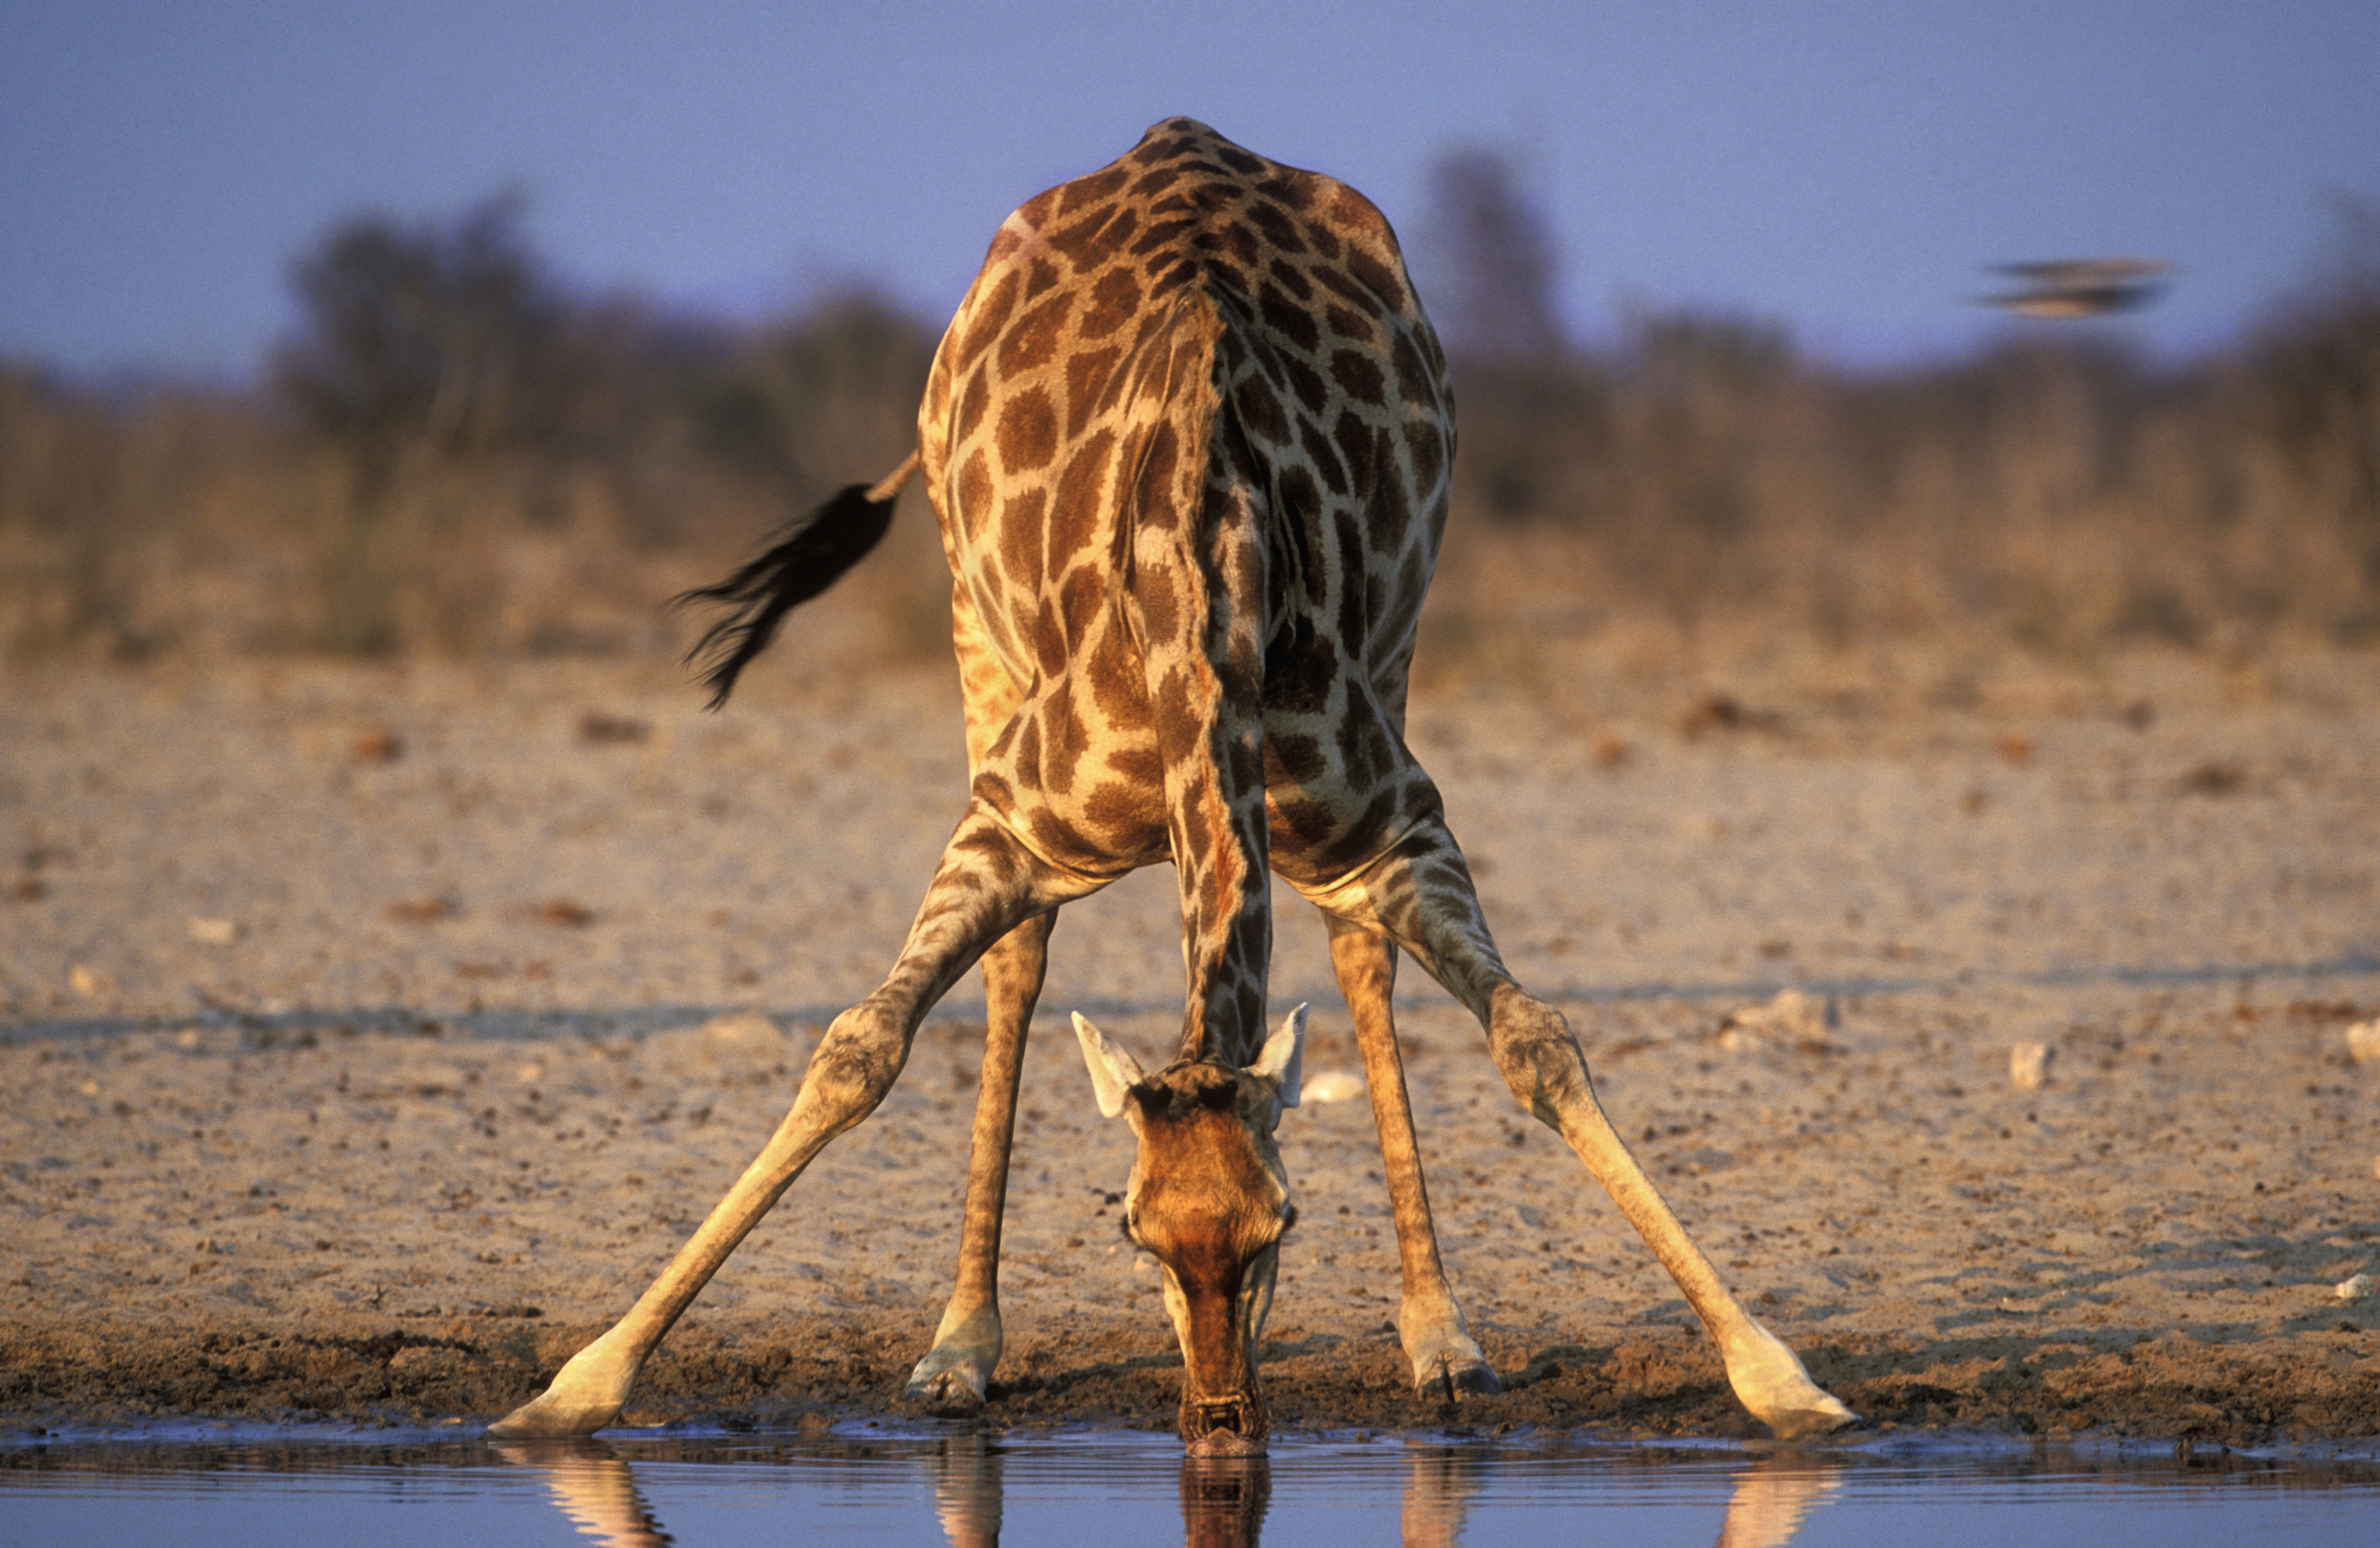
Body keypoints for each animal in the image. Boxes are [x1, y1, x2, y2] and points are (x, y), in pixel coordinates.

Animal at [489, 118, 1856, 1453]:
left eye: (1281, 1225)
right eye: (1131, 1228)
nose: (1217, 1422)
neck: (1206, 585)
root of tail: (1174, 136)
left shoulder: (1390, 821)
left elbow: (1534, 1042)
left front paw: (1777, 1380)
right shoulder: (1008, 822)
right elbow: (857, 1050)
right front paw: (575, 1388)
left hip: (1401, 638)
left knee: (1356, 958)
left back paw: (1437, 1337)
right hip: (973, 636)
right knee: (1017, 964)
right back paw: (957, 1348)